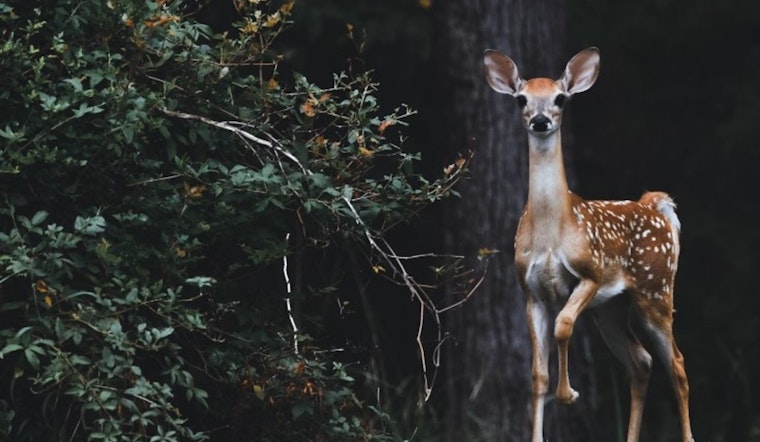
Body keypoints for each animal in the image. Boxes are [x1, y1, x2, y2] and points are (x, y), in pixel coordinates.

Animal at [482, 47, 694, 442]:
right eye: (521, 99)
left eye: (560, 98)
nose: (539, 121)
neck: (552, 232)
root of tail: (654, 205)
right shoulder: (531, 291)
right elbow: (537, 374)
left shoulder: (590, 273)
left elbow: (563, 325)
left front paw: (568, 395)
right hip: (610, 308)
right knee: (641, 361)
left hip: (656, 289)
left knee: (676, 362)